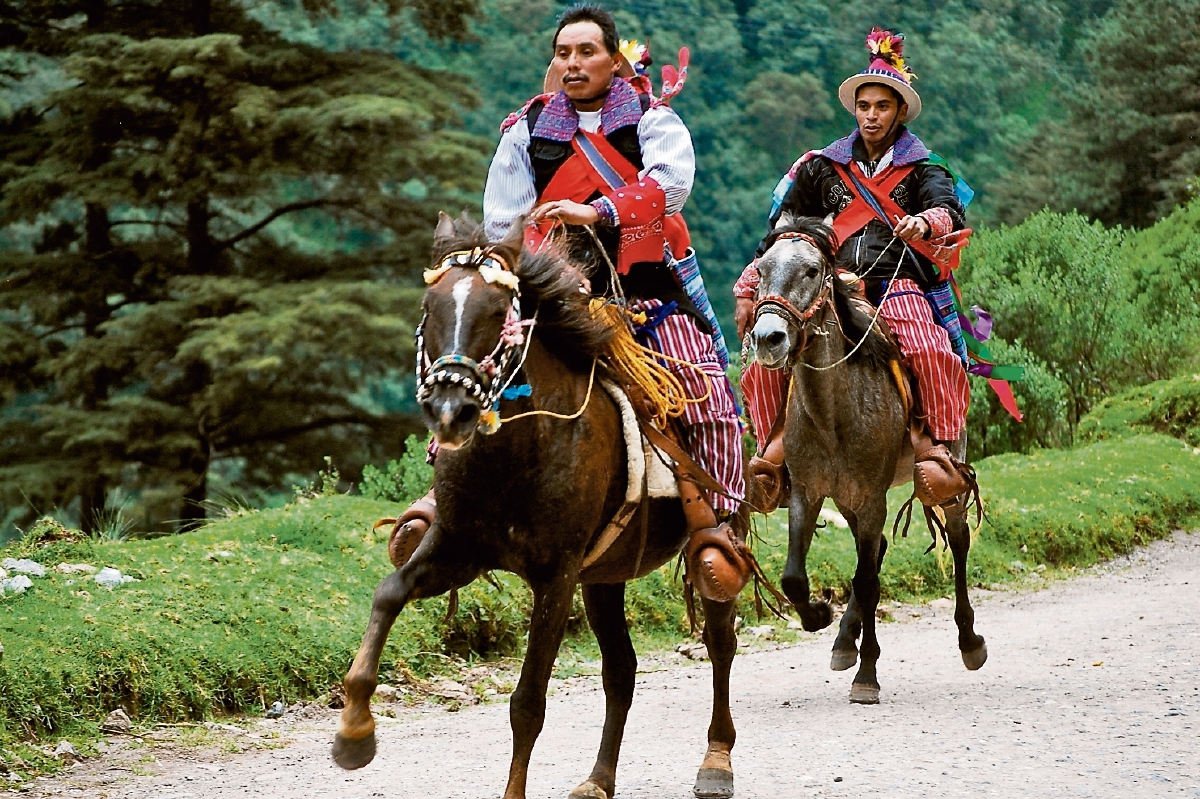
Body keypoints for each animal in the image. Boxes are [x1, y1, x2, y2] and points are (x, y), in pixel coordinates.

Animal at [331, 213, 739, 796]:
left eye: (500, 312)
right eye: (430, 308)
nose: (450, 409)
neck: (519, 452)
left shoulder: (557, 576)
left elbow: (527, 704)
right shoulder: (458, 549)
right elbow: (388, 593)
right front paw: (354, 733)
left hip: (711, 540)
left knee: (719, 638)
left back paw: (716, 760)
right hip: (605, 575)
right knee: (621, 669)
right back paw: (599, 779)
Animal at [748, 214, 984, 700]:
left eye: (812, 271)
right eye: (761, 269)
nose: (768, 339)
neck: (833, 413)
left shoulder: (874, 496)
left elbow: (868, 581)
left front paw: (868, 675)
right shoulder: (808, 492)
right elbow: (795, 576)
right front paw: (818, 616)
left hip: (945, 470)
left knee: (957, 538)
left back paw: (969, 640)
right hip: (846, 499)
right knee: (876, 552)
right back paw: (843, 641)